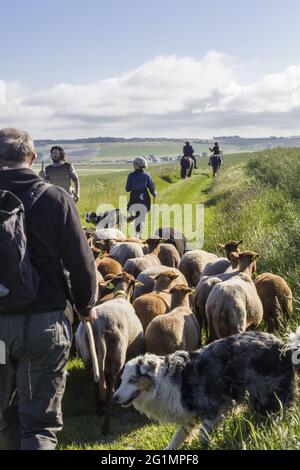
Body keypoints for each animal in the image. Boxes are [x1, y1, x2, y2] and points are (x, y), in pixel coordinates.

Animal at [76, 272, 144, 434]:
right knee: (111, 389)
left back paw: (99, 410)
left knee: (95, 384)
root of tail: (98, 326)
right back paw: (106, 426)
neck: (120, 296)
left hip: (88, 356)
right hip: (118, 356)